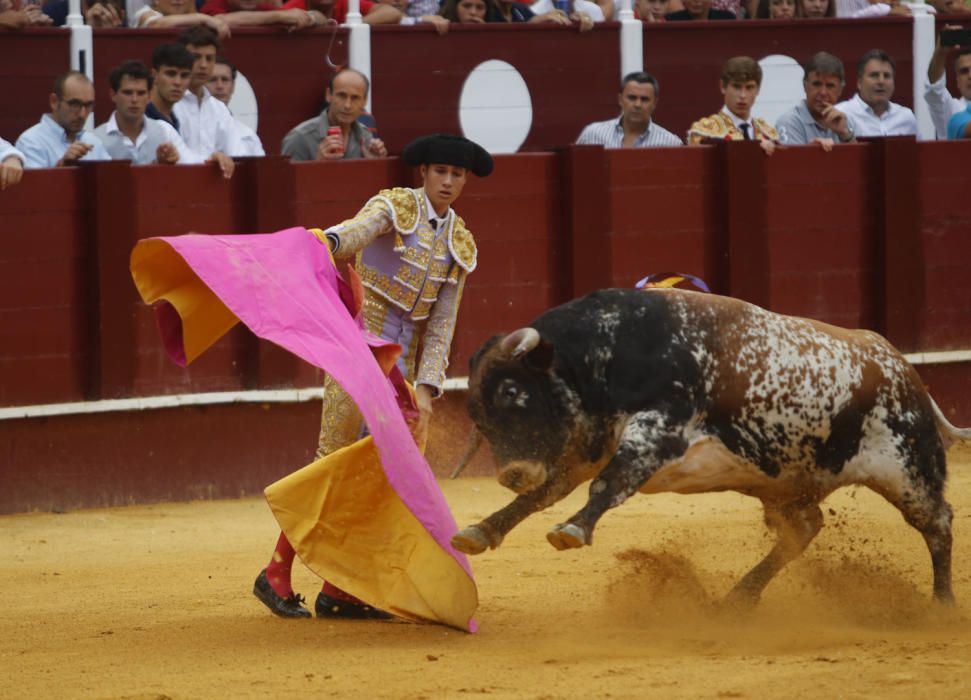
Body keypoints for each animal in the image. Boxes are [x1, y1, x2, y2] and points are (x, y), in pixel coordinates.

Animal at [452, 288, 968, 604]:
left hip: (908, 470)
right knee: (802, 530)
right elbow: (540, 496)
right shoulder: (580, 449)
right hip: (785, 485)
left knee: (938, 523)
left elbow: (608, 485)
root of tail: (904, 368)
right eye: (476, 413)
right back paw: (737, 599)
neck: (608, 352)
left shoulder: (655, 432)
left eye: (513, 392)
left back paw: (941, 603)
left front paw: (572, 530)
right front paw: (479, 531)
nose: (511, 473)